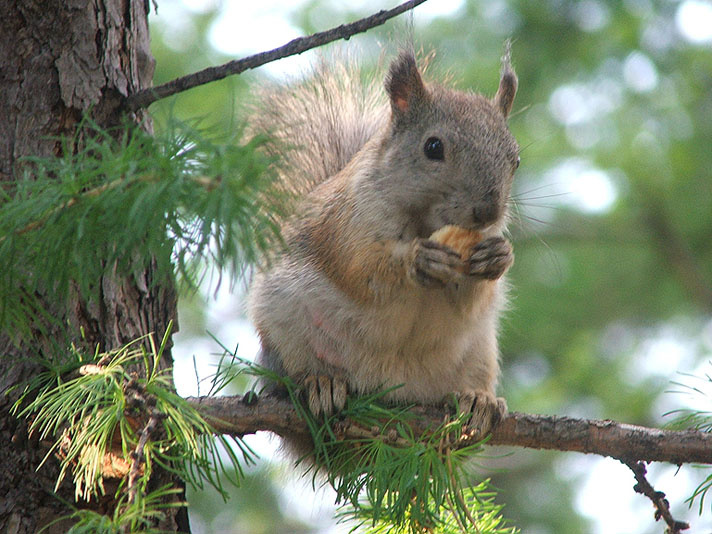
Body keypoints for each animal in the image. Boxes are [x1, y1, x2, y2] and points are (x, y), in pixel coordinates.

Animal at [248, 45, 519, 440]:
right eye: (433, 147)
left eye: (516, 159)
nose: (487, 212)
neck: (425, 222)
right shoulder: (347, 224)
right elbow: (362, 268)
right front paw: (417, 261)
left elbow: (471, 300)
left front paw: (498, 256)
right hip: (283, 325)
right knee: (295, 374)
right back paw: (319, 383)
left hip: (479, 351)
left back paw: (476, 401)